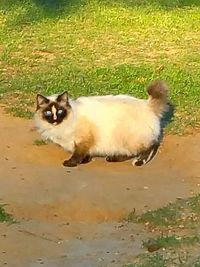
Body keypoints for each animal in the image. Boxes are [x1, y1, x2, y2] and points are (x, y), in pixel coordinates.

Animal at [34, 80, 169, 168]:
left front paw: (71, 163)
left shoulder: (83, 140)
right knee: (130, 152)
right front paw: (86, 161)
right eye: (48, 113)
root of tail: (147, 105)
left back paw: (139, 162)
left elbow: (78, 154)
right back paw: (112, 158)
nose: (55, 120)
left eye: (60, 111)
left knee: (150, 147)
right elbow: (84, 154)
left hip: (131, 139)